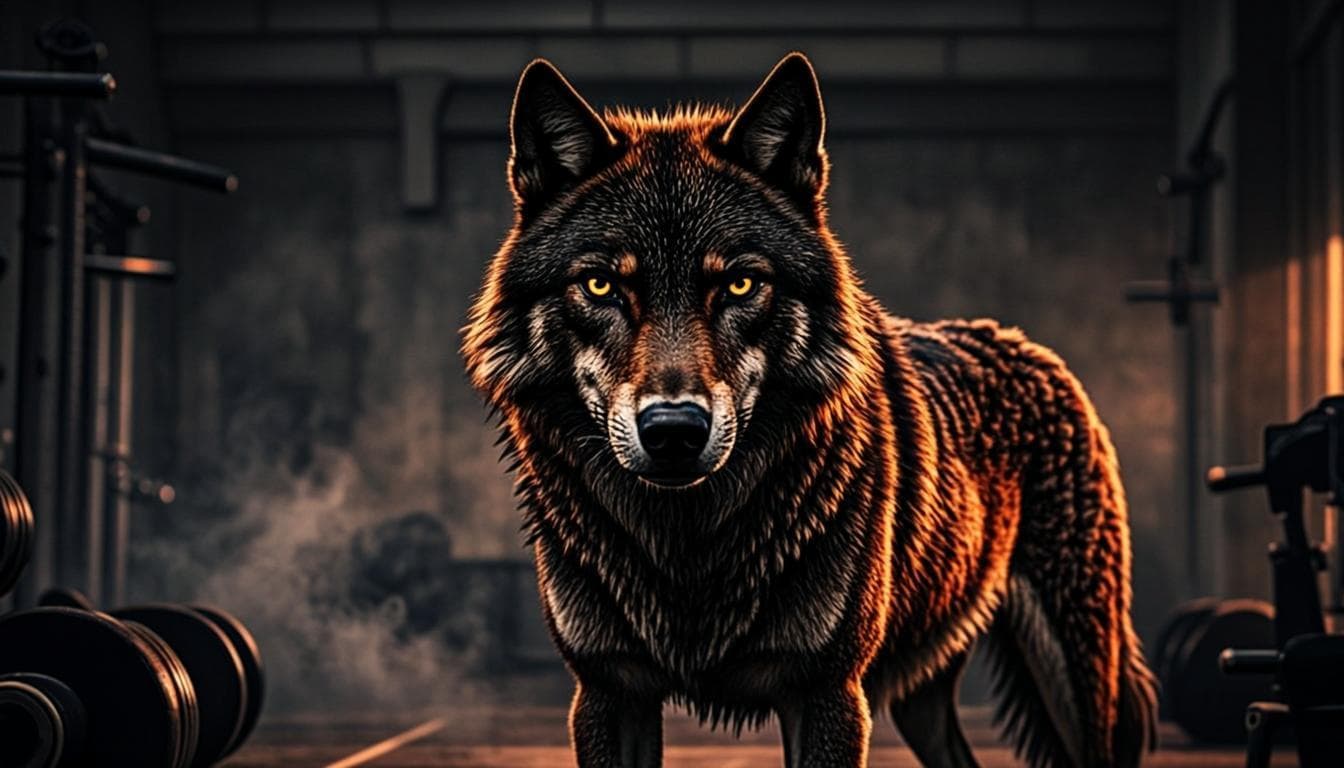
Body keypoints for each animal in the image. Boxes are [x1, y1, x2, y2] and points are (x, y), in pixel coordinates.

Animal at [461, 52, 1157, 768]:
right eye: (600, 284)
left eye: (741, 283)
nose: (674, 430)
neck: (689, 543)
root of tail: (1029, 347)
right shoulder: (608, 690)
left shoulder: (827, 693)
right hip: (923, 701)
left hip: (1077, 681)